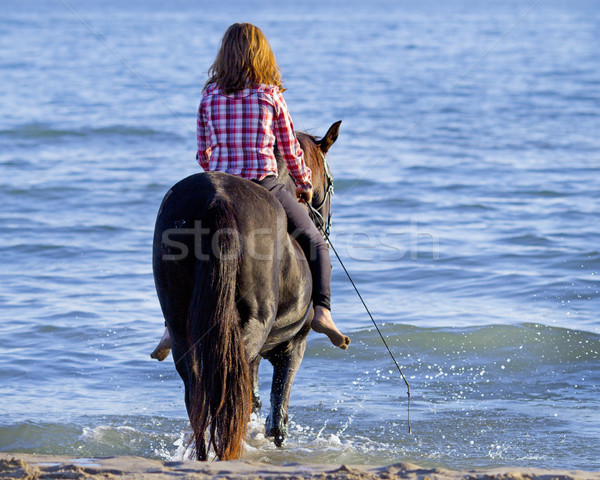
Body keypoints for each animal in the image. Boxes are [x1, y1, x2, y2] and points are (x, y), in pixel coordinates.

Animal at [152, 120, 342, 462]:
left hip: (181, 323)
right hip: (251, 329)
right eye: (330, 182)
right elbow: (277, 416)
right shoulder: (294, 346)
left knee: (198, 387)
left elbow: (253, 401)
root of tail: (218, 201)